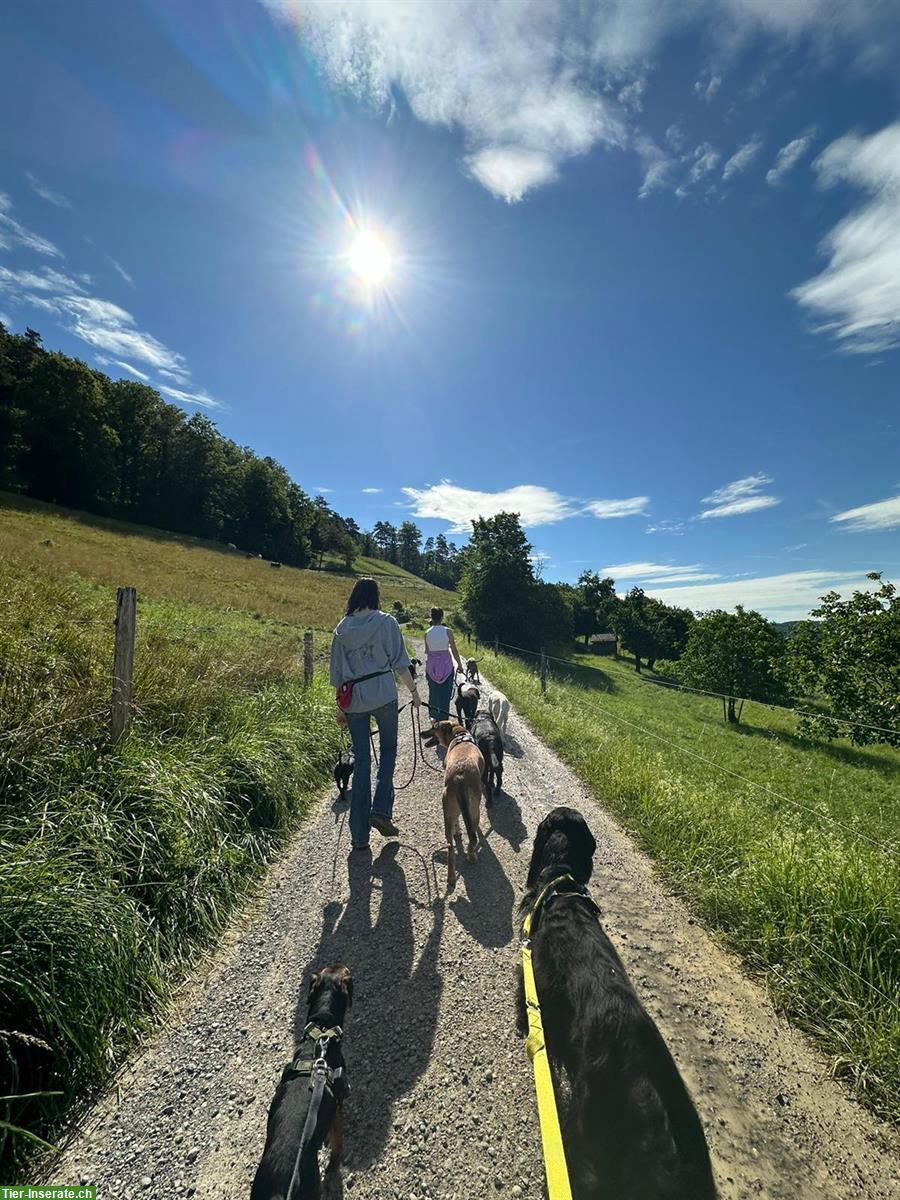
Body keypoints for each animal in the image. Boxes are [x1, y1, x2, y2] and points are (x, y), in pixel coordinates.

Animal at [422, 720, 487, 892]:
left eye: (433, 727)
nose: (421, 733)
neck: (459, 734)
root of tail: (459, 777)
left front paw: (458, 831)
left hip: (448, 809)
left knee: (451, 846)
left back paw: (451, 877)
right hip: (474, 808)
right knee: (472, 836)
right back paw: (471, 855)